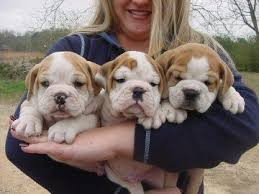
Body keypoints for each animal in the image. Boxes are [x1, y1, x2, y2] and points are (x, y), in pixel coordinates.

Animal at [156, 43, 246, 194]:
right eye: (177, 78)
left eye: (208, 83)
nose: (191, 92)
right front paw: (173, 109)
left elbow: (224, 85)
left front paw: (233, 97)